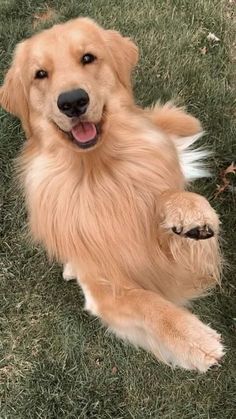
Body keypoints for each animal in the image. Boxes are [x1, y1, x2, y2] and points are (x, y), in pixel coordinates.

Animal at [0, 17, 225, 370]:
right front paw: (195, 340)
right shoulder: (104, 287)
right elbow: (149, 304)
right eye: (40, 74)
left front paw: (191, 213)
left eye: (88, 58)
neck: (98, 172)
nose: (73, 101)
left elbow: (169, 198)